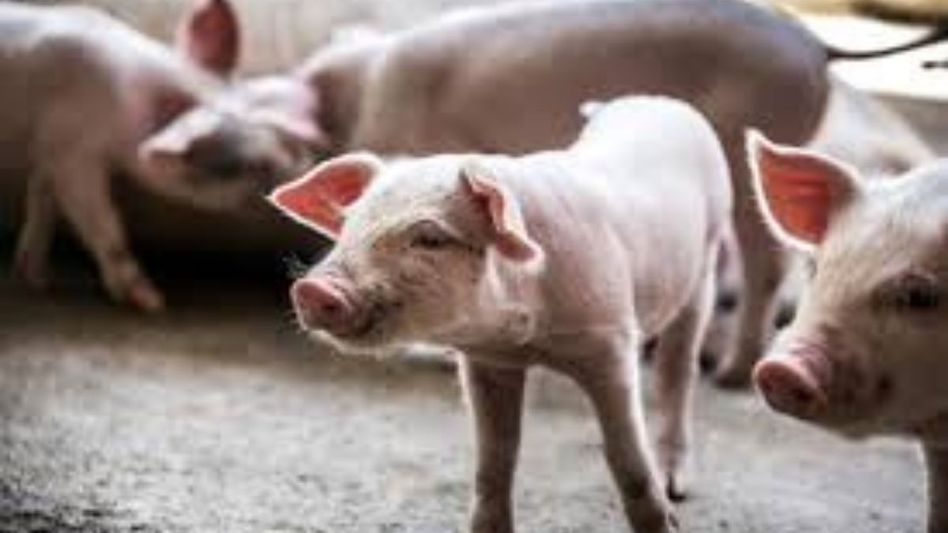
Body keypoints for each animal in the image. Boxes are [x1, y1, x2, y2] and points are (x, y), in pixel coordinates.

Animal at [0, 0, 320, 311]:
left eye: (269, 129)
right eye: (239, 167)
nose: (307, 164)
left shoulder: (49, 148)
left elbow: (42, 200)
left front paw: (38, 279)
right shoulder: (73, 152)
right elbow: (104, 223)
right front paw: (152, 303)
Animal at [166, 0, 948, 386]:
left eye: (251, 129)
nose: (162, 147)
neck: (352, 99)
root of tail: (818, 45)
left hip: (758, 139)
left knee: (766, 261)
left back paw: (727, 375)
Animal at [270, 96, 732, 533]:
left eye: (431, 238)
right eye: (349, 226)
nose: (311, 288)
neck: (530, 335)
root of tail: (657, 101)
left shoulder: (609, 338)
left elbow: (627, 458)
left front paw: (665, 522)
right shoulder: (488, 362)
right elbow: (495, 456)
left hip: (705, 264)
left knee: (677, 371)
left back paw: (675, 481)